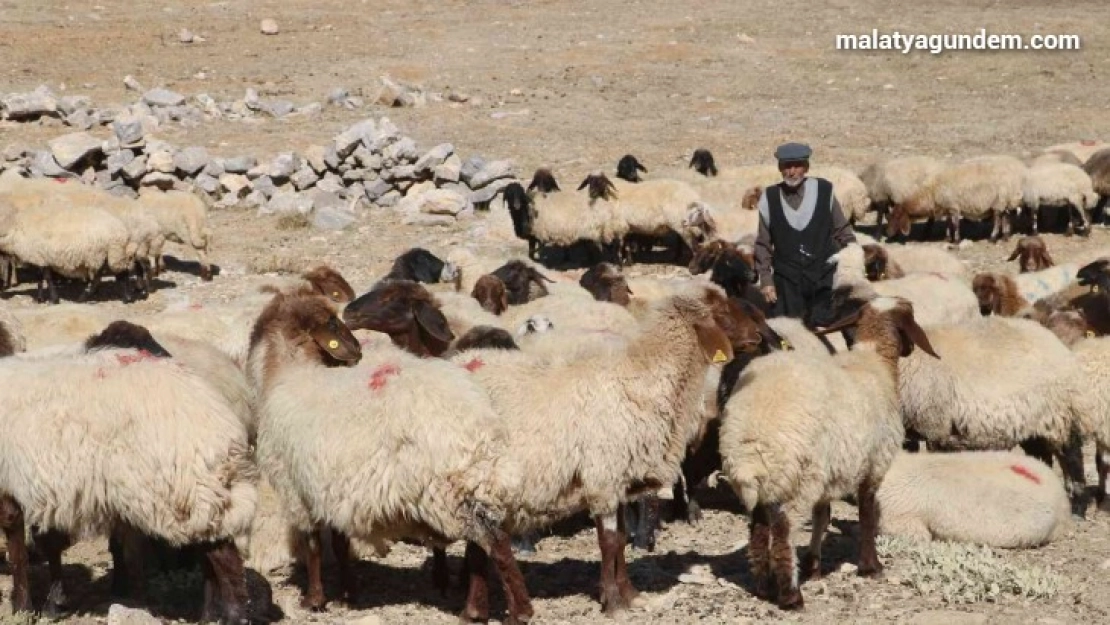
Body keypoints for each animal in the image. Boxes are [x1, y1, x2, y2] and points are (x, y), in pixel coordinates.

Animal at [719, 297, 936, 612]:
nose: (909, 348)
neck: (875, 363)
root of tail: (753, 436)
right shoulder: (874, 464)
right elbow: (867, 514)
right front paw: (871, 566)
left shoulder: (831, 473)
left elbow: (822, 517)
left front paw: (813, 565)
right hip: (797, 477)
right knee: (783, 531)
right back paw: (791, 596)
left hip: (770, 480)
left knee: (758, 529)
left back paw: (763, 586)